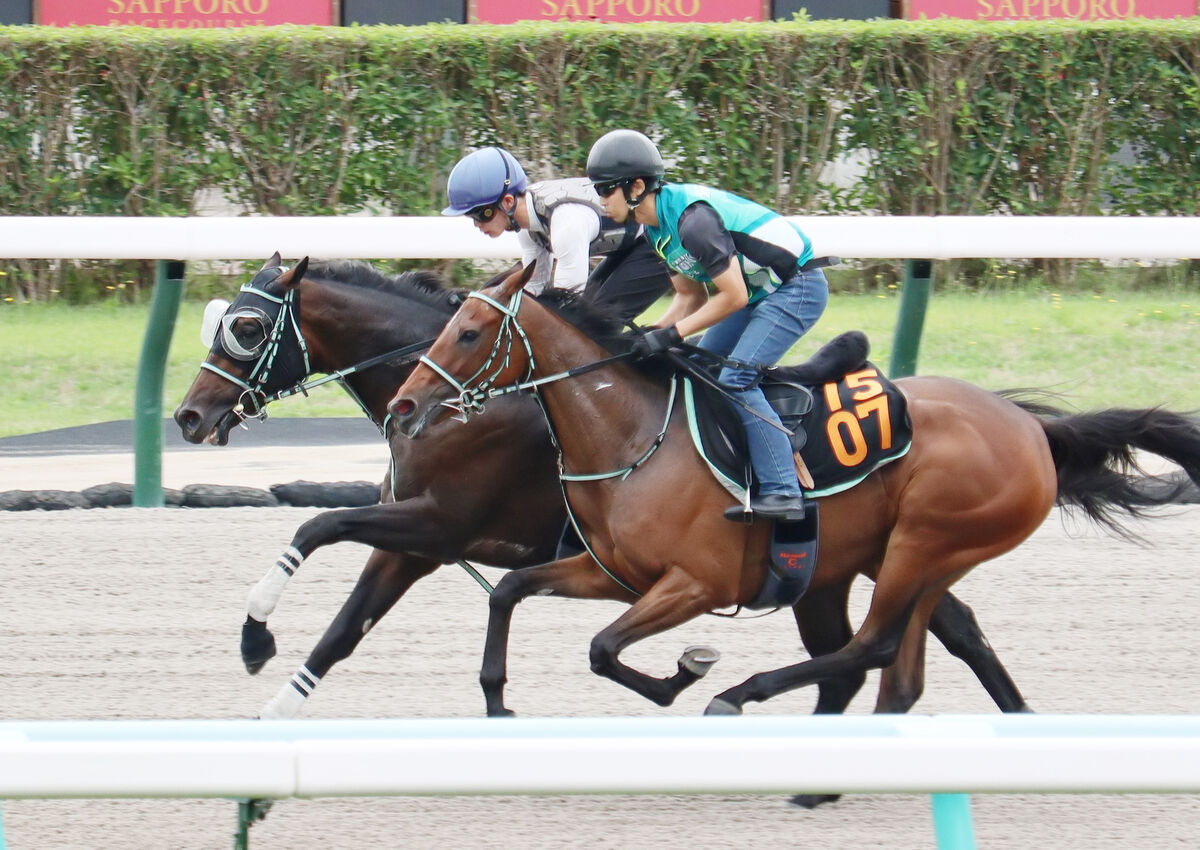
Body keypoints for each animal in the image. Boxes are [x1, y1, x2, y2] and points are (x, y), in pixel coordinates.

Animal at [175, 252, 1032, 734]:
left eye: (246, 328)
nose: (188, 416)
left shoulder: (436, 526)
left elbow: (317, 525)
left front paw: (255, 639)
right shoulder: (415, 543)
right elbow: (344, 628)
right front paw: (275, 701)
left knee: (919, 634)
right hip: (860, 557)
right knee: (950, 629)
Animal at [391, 264, 1200, 725]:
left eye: (469, 332)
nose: (403, 405)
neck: (632, 438)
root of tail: (1031, 427)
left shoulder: (695, 583)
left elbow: (603, 647)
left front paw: (686, 674)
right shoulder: (611, 572)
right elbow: (513, 593)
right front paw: (497, 696)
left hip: (925, 543)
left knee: (871, 647)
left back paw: (741, 693)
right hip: (865, 563)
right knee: (921, 647)